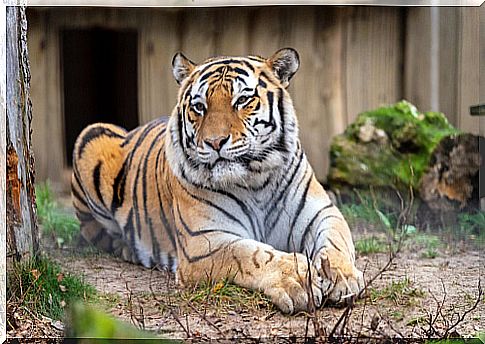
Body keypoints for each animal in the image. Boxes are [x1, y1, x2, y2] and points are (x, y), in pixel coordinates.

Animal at [72, 48, 364, 314]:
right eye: (199, 106)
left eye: (243, 100)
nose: (215, 142)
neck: (256, 180)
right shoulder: (203, 242)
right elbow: (251, 254)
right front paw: (297, 279)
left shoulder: (322, 213)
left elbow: (336, 242)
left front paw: (343, 277)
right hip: (91, 135)